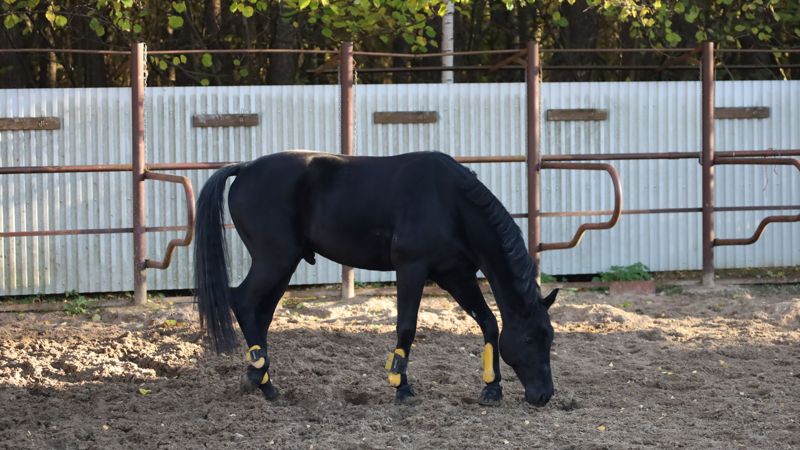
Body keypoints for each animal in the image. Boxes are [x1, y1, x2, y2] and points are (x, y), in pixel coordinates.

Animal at [193, 150, 558, 406]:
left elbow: (488, 322)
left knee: (260, 314)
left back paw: (266, 384)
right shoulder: (411, 268)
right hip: (275, 260)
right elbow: (407, 327)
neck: (449, 201)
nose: (544, 395)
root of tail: (244, 168)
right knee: (242, 301)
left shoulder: (456, 276)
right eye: (529, 339)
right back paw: (258, 377)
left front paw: (491, 388)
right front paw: (401, 387)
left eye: (549, 338)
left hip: (283, 265)